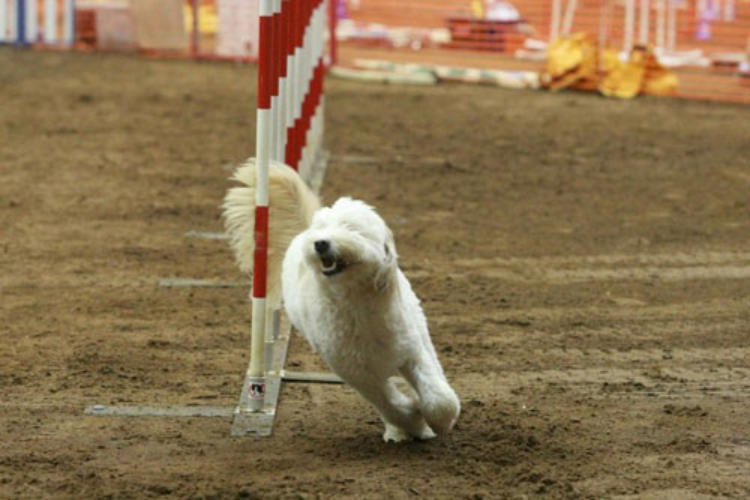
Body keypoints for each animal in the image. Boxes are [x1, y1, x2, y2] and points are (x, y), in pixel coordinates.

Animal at [222, 160, 458, 442]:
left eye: (352, 229)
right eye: (323, 229)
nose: (320, 243)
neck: (357, 303)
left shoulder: (409, 350)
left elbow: (438, 396)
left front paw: (440, 421)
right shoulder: (357, 371)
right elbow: (390, 403)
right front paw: (412, 421)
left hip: (418, 327)